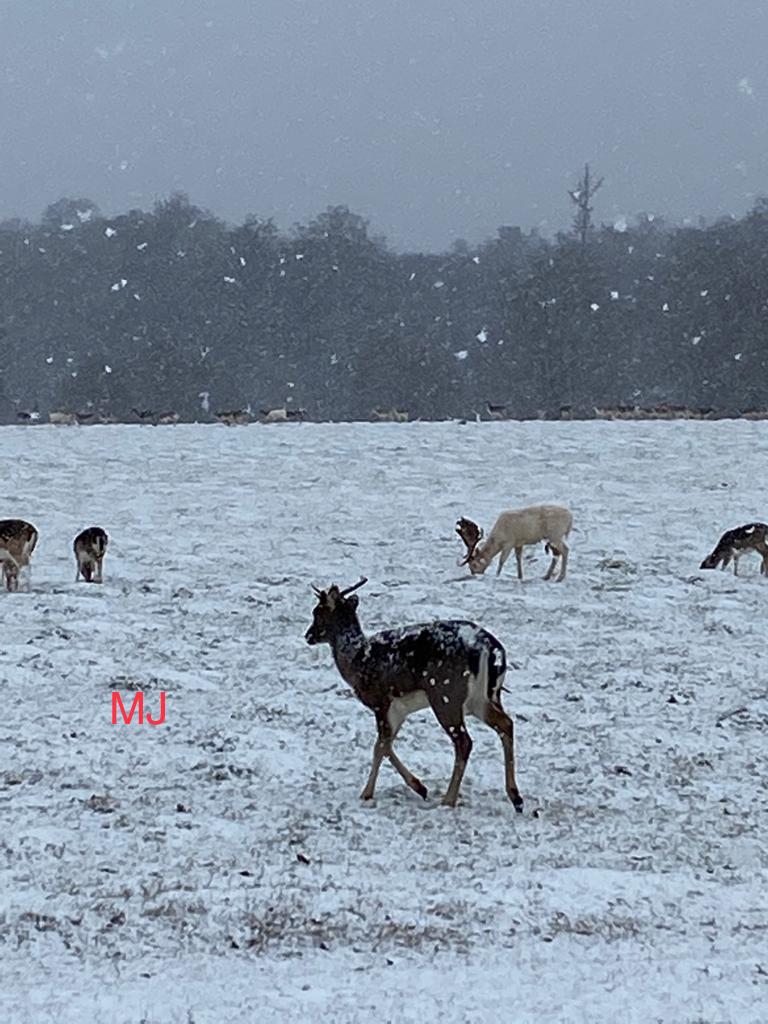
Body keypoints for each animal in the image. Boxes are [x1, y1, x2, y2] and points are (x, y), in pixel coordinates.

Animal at [305, 577, 523, 810]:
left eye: (317, 612)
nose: (308, 635)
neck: (357, 660)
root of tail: (490, 648)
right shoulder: (400, 710)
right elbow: (385, 744)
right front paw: (419, 787)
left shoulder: (380, 701)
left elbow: (379, 746)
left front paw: (368, 793)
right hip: (484, 697)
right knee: (506, 724)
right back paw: (515, 796)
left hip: (446, 695)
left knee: (464, 741)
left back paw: (449, 799)